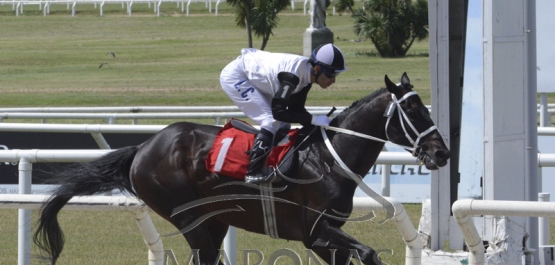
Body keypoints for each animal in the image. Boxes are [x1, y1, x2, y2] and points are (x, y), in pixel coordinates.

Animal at [33, 72, 452, 264]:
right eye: (414, 110)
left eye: (425, 107)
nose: (443, 153)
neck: (328, 160)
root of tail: (144, 147)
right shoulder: (314, 231)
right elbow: (368, 253)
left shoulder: (324, 238)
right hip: (188, 216)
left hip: (214, 221)